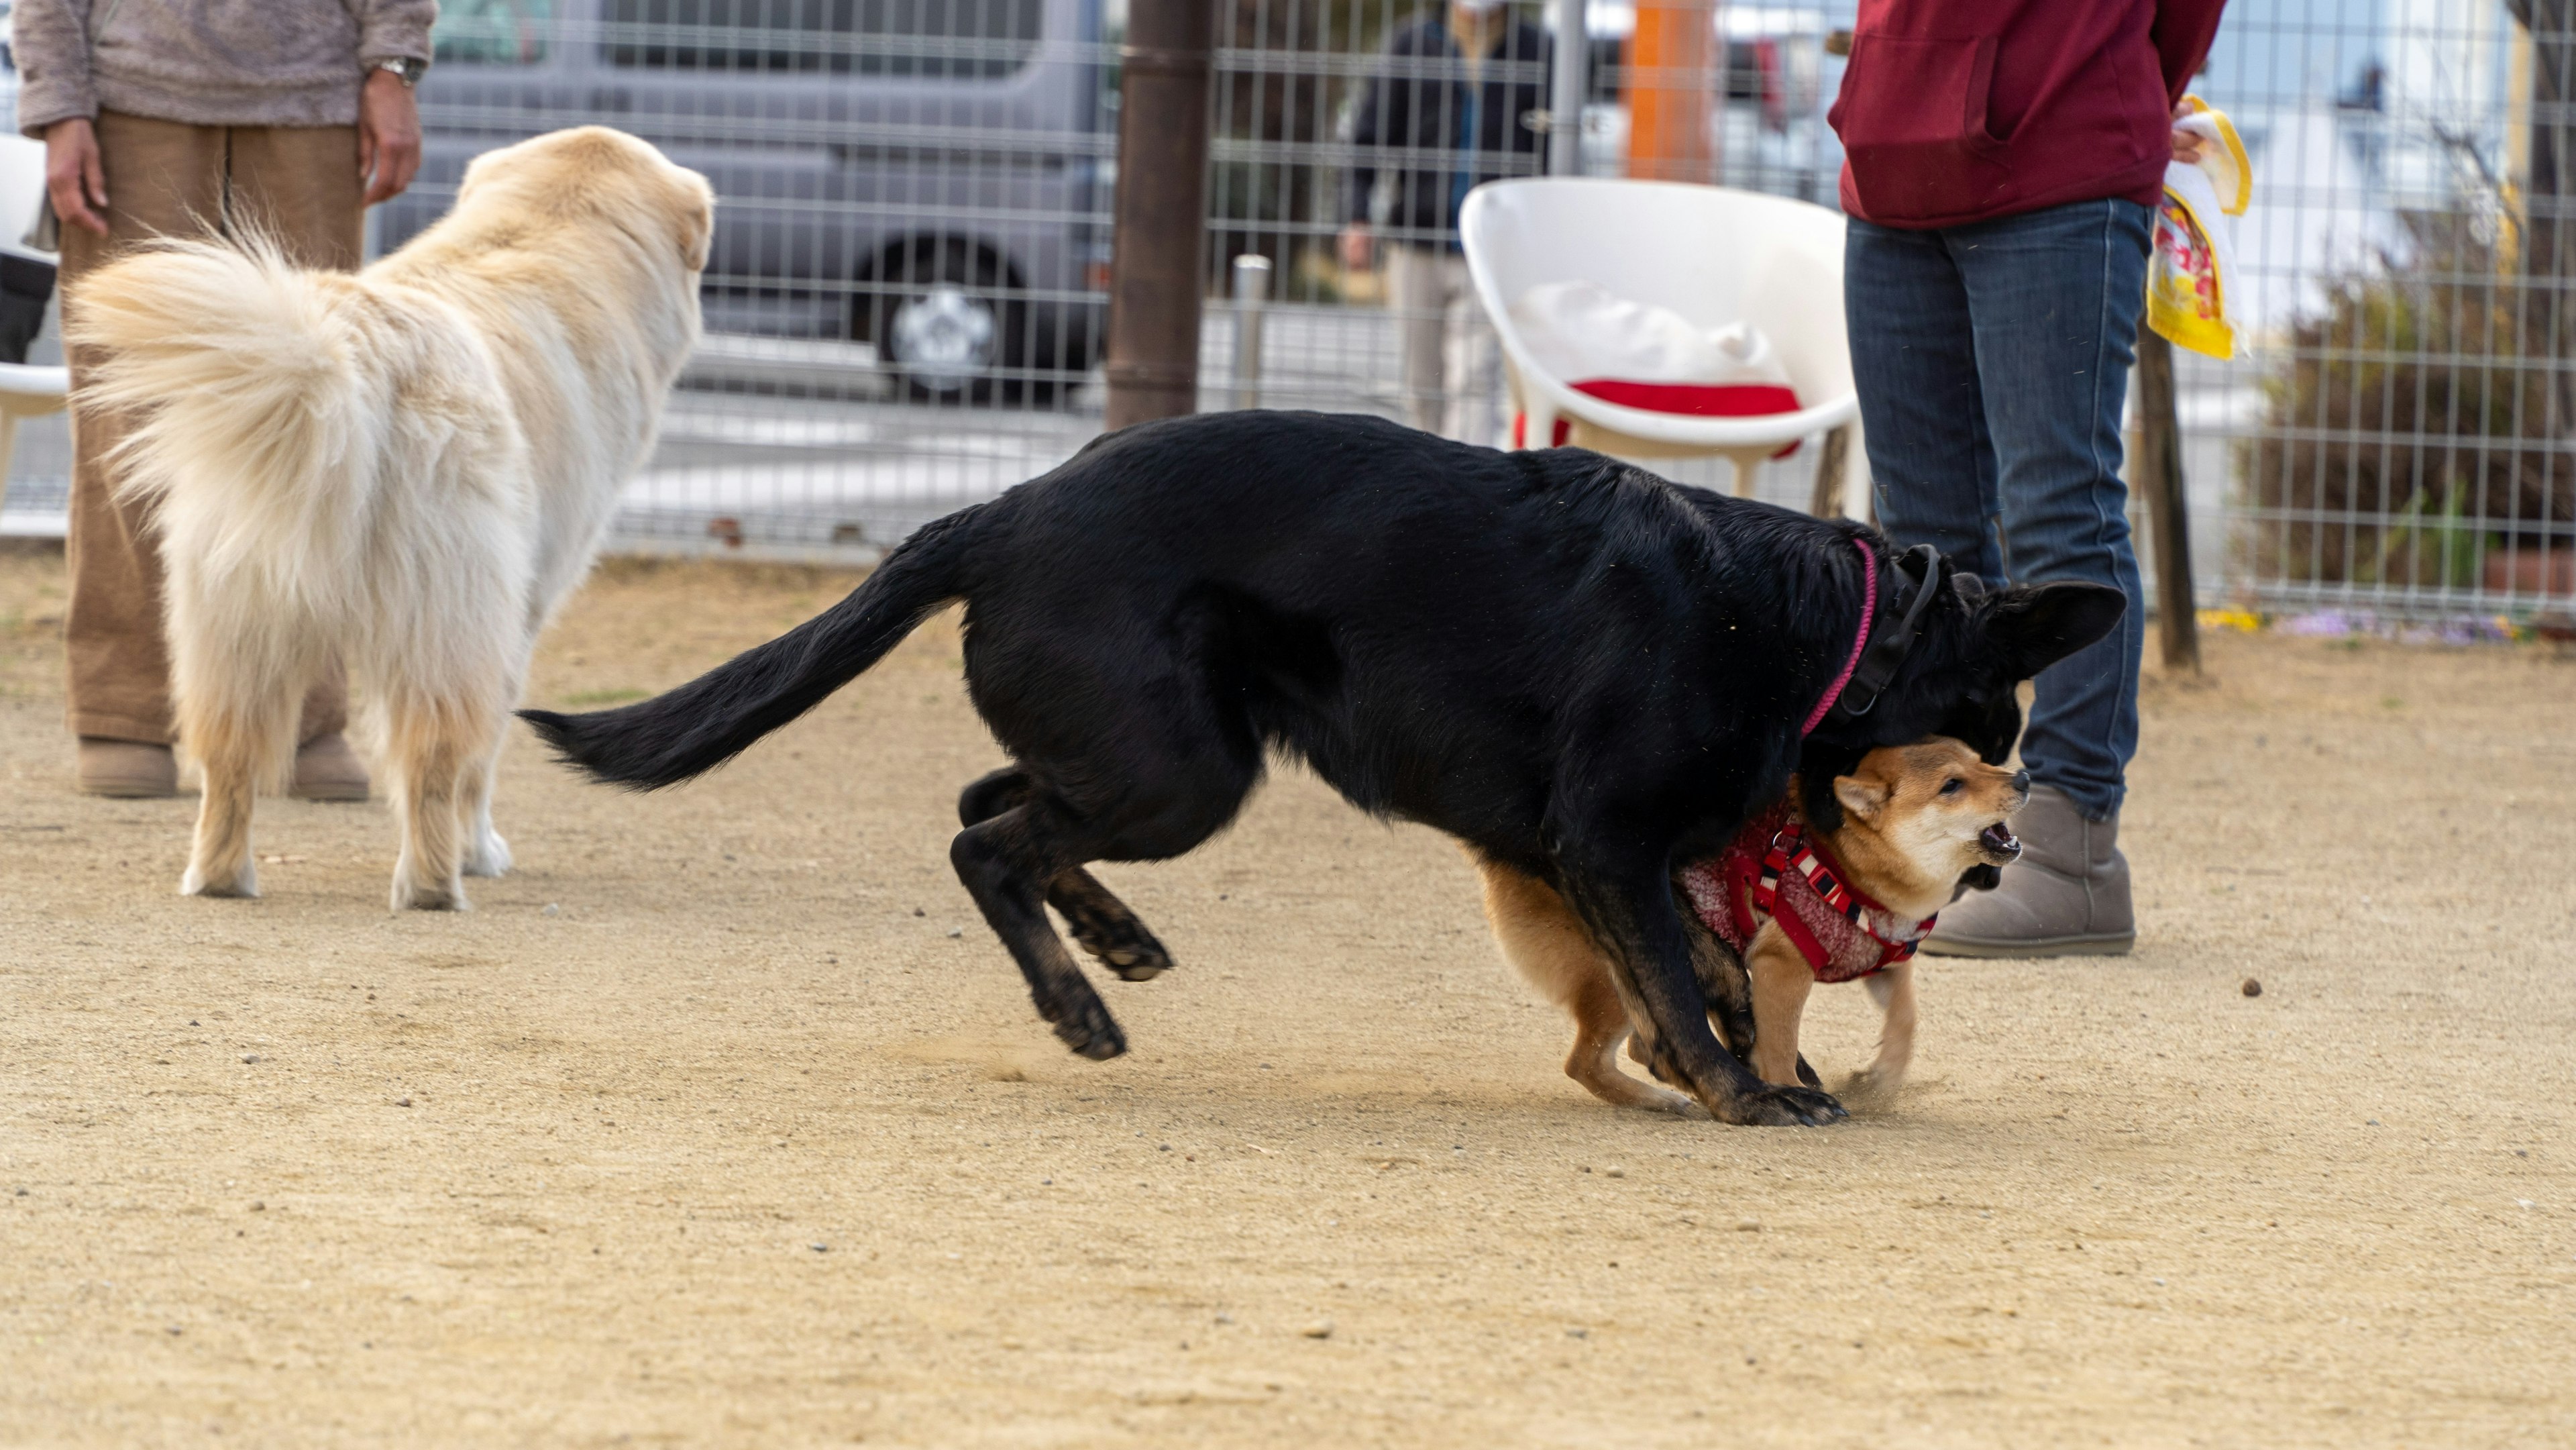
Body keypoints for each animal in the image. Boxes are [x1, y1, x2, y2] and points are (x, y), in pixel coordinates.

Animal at [70, 130, 716, 911]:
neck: (540, 234)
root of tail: (345, 354)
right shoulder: (519, 616)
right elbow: (482, 760)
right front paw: (483, 852)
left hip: (233, 621)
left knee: (229, 759)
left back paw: (220, 879)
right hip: (446, 620)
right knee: (436, 757)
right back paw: (435, 886)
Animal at [1473, 741, 2029, 1117]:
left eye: (1983, 760)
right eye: (1951, 785)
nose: (2023, 778)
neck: (1847, 869)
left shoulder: (1883, 959)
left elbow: (1906, 1020)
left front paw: (1881, 1080)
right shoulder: (1781, 966)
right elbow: (1780, 1041)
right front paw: (1791, 1093)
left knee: (1639, 1048)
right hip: (1629, 970)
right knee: (1590, 1061)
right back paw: (1662, 1099)